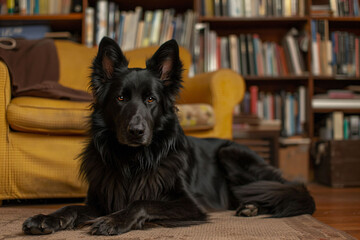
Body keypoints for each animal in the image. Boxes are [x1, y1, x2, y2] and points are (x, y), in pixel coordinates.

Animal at [22, 38, 316, 236]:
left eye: (151, 99)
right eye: (120, 98)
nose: (136, 131)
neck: (134, 160)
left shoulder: (189, 204)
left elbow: (142, 201)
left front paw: (114, 220)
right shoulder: (99, 199)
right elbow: (70, 207)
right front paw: (46, 218)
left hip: (230, 153)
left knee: (278, 191)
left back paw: (253, 206)